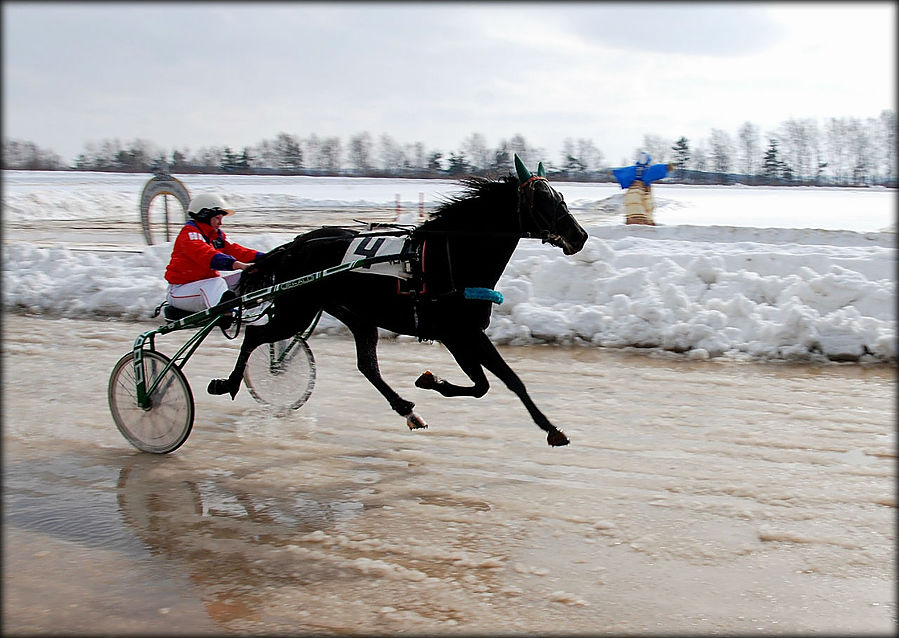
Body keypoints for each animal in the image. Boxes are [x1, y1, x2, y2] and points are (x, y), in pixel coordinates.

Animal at [211, 157, 592, 448]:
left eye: (559, 195)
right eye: (543, 199)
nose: (580, 236)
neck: (454, 257)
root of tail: (297, 245)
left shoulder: (467, 333)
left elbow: (504, 382)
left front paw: (551, 428)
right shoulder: (457, 334)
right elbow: (489, 384)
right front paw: (431, 381)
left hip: (355, 315)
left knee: (367, 366)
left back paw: (408, 410)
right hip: (297, 311)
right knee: (255, 336)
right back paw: (228, 383)